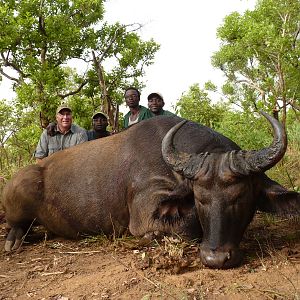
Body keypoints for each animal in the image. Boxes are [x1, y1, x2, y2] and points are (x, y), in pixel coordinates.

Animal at [1, 111, 298, 268]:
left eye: (241, 197)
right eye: (200, 199)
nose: (215, 258)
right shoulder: (146, 213)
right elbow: (185, 226)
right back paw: (13, 240)